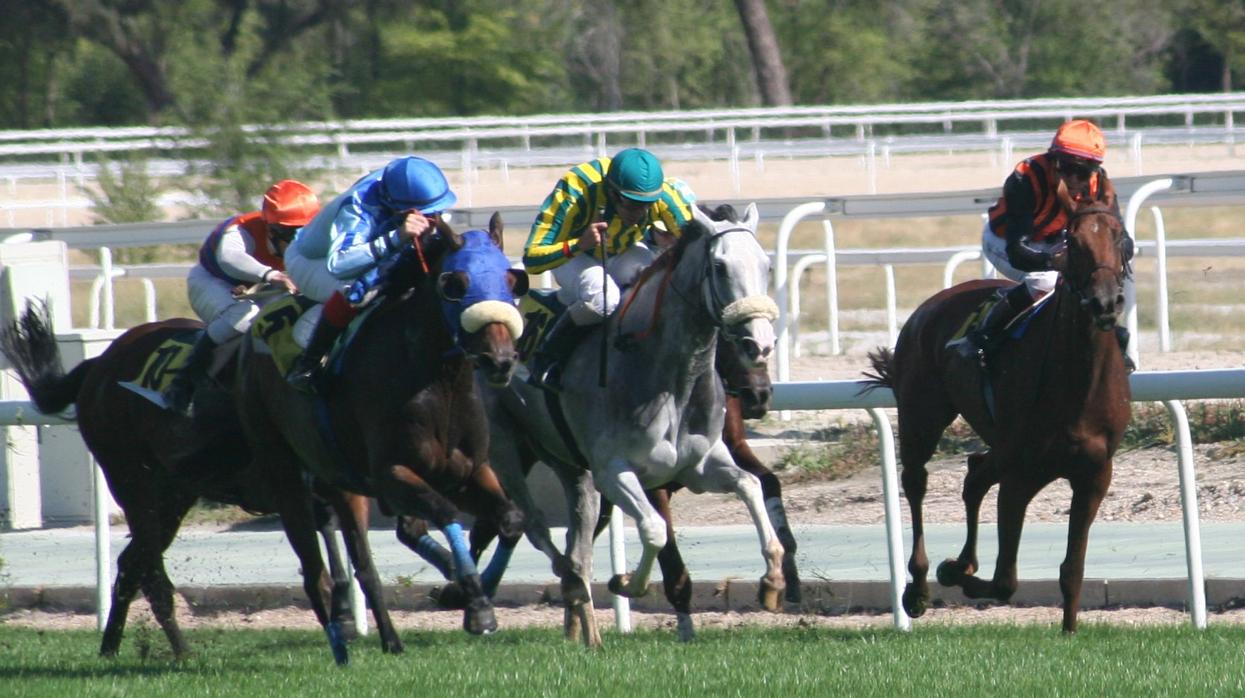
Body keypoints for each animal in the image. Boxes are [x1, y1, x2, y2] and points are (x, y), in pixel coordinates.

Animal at [0, 302, 398, 661]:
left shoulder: (342, 489)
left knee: (132, 564)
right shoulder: (292, 487)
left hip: (175, 496)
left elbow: (362, 564)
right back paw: (181, 653)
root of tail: (100, 364)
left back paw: (110, 647)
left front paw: (379, 634)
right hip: (133, 484)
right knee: (151, 573)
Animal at [480, 201, 781, 642]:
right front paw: (626, 582)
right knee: (535, 529)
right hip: (506, 451)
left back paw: (586, 632)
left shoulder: (699, 465)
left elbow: (750, 485)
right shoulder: (617, 472)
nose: (758, 344)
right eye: (720, 266)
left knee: (577, 544)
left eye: (766, 265)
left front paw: (773, 579)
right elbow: (654, 529)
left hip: (571, 469)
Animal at [861, 201, 1135, 632]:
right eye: (1073, 243)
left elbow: (1072, 570)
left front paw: (1069, 630)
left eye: (1120, 237)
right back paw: (919, 586)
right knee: (917, 481)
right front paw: (951, 572)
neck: (1077, 381)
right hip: (923, 415)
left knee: (975, 474)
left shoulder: (1093, 474)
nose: (1105, 303)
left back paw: (962, 561)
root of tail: (935, 301)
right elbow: (1006, 580)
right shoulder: (1021, 474)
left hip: (1001, 445)